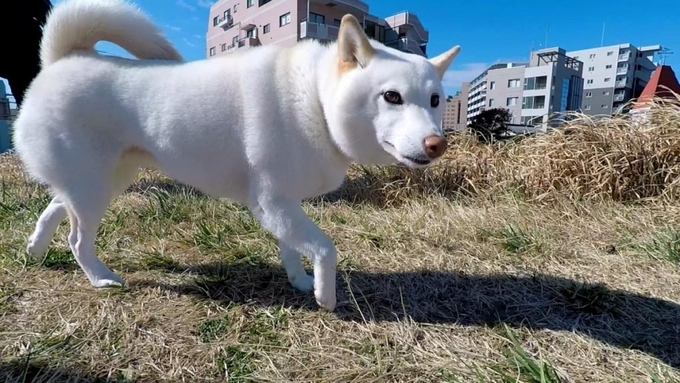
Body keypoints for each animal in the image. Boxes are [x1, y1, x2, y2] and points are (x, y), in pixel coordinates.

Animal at [14, 0, 462, 312]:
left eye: (435, 100)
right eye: (392, 97)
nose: (436, 144)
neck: (314, 101)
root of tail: (62, 59)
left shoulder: (283, 205)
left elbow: (291, 246)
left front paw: (300, 281)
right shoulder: (270, 201)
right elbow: (325, 247)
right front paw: (325, 295)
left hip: (106, 179)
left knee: (56, 205)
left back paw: (35, 248)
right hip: (95, 187)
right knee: (76, 237)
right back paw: (100, 278)